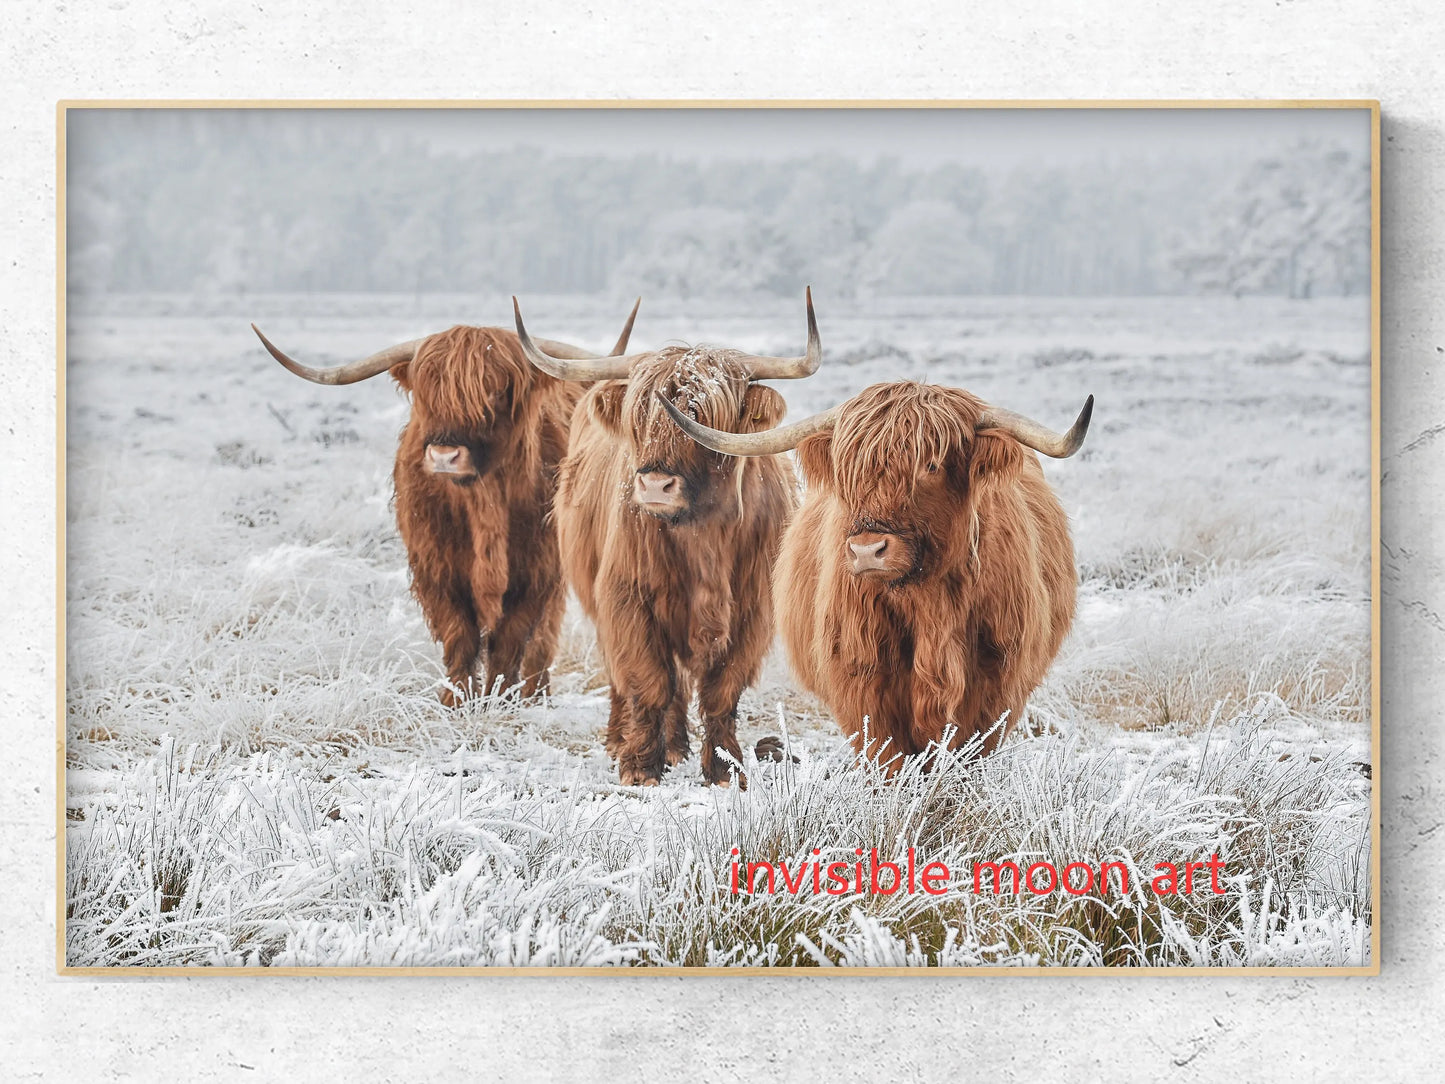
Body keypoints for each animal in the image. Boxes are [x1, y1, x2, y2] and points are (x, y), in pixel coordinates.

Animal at [251, 305, 639, 705]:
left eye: (495, 391)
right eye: (427, 394)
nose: (444, 456)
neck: (483, 503)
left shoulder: (537, 568)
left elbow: (511, 638)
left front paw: (501, 698)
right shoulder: (436, 567)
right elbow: (459, 634)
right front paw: (456, 699)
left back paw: (536, 692)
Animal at [511, 291, 823, 786]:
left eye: (702, 416)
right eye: (638, 416)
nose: (655, 485)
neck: (703, 537)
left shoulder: (752, 611)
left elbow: (721, 691)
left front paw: (726, 767)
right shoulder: (627, 598)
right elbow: (649, 681)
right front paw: (640, 766)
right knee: (632, 678)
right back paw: (628, 740)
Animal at [659, 377, 1093, 770]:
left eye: (931, 464)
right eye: (848, 470)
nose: (867, 550)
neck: (929, 607)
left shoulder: (996, 684)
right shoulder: (862, 681)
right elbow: (888, 759)